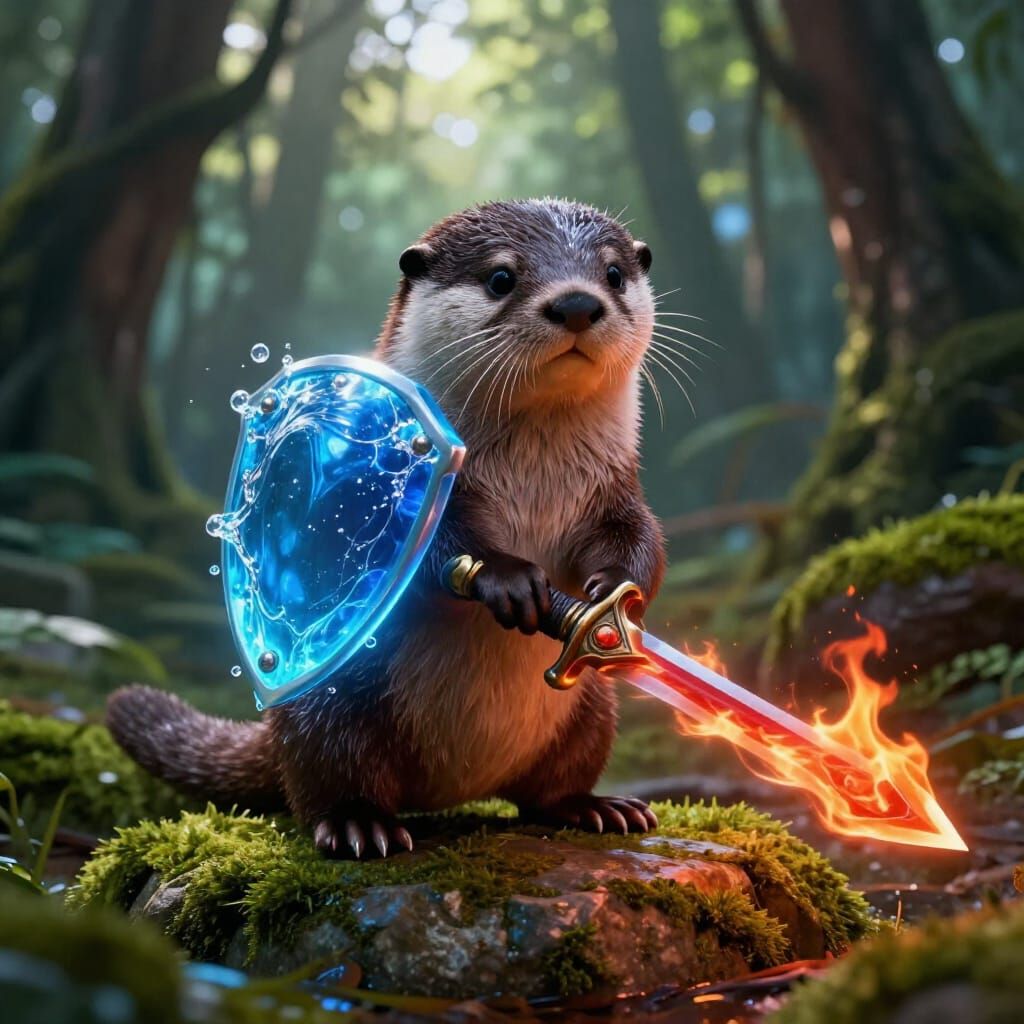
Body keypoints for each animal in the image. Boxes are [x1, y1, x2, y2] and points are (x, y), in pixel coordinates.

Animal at [108, 198, 666, 858]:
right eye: (501, 277)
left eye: (613, 273)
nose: (577, 302)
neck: (533, 482)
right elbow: (431, 551)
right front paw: (509, 579)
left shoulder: (616, 491)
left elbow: (641, 540)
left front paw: (614, 592)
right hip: (335, 706)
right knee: (327, 778)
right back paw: (359, 825)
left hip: (592, 709)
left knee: (551, 786)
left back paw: (595, 807)